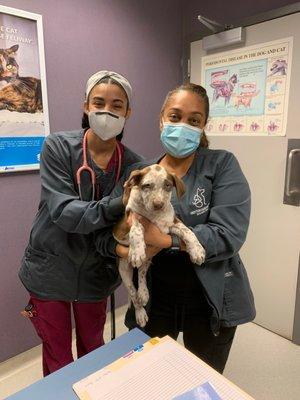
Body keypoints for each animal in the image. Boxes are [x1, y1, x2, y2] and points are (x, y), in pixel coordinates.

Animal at [113, 164, 206, 326]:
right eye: (146, 186)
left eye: (167, 185)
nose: (158, 205)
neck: (153, 216)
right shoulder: (125, 224)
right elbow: (136, 227)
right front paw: (136, 251)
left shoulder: (171, 223)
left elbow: (188, 231)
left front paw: (197, 250)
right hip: (124, 269)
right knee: (133, 294)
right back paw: (140, 312)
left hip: (147, 260)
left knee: (141, 273)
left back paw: (143, 292)